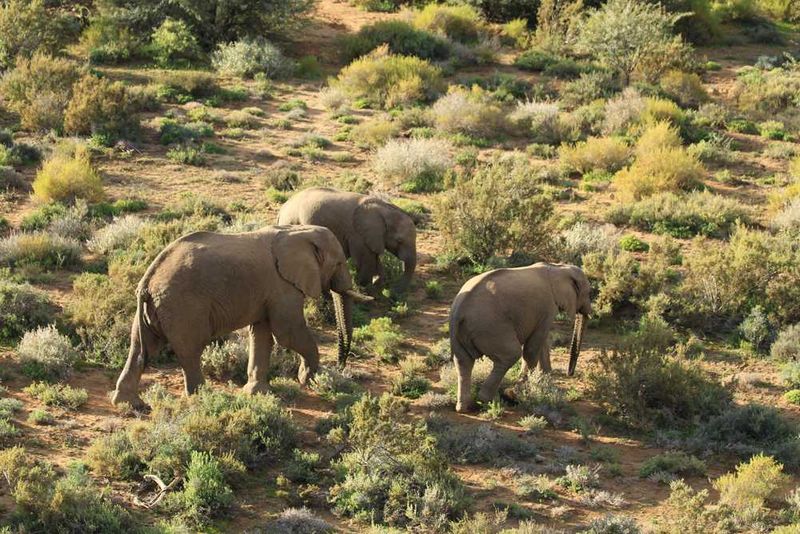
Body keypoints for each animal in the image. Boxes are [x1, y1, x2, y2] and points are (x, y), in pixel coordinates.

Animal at [111, 225, 371, 409]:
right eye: (339, 263)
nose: (341, 365)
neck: (298, 231)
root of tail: (148, 281)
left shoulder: (269, 292)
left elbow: (263, 334)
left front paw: (257, 393)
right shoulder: (282, 286)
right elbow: (287, 333)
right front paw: (309, 379)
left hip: (159, 309)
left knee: (140, 348)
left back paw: (130, 404)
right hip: (183, 307)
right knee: (190, 350)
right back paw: (204, 399)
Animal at [277, 187, 417, 293]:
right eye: (399, 241)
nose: (393, 293)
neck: (385, 209)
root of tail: (282, 209)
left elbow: (374, 259)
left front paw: (376, 284)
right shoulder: (357, 234)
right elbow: (365, 261)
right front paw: (367, 289)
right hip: (292, 221)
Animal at [449, 262, 592, 413]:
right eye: (589, 293)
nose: (569, 374)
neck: (558, 268)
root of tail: (459, 312)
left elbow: (541, 344)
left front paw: (546, 385)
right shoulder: (547, 308)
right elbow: (532, 348)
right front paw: (518, 393)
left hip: (460, 332)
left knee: (463, 362)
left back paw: (465, 407)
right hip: (490, 329)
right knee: (510, 355)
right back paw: (487, 401)